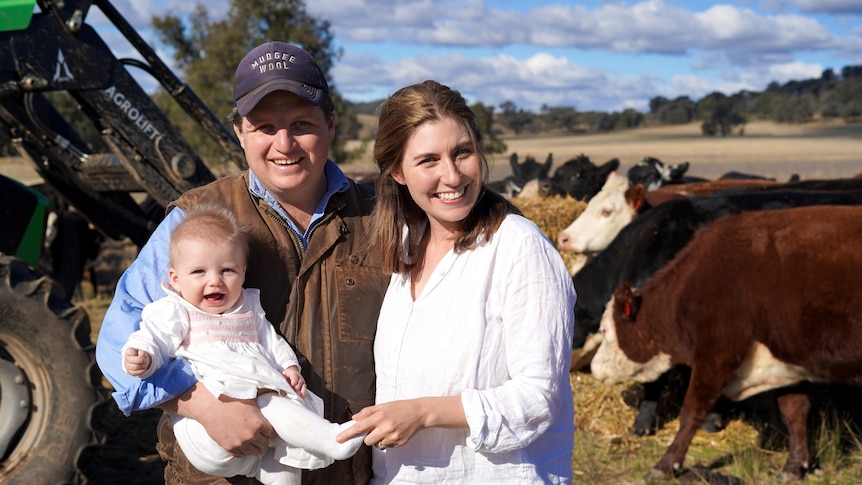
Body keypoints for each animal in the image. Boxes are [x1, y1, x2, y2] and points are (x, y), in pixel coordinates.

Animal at [592, 204, 862, 480]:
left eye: (604, 329)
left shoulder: (716, 355)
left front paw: (666, 464)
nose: (594, 367)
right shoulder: (787, 364)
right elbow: (794, 412)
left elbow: (692, 412)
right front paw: (794, 466)